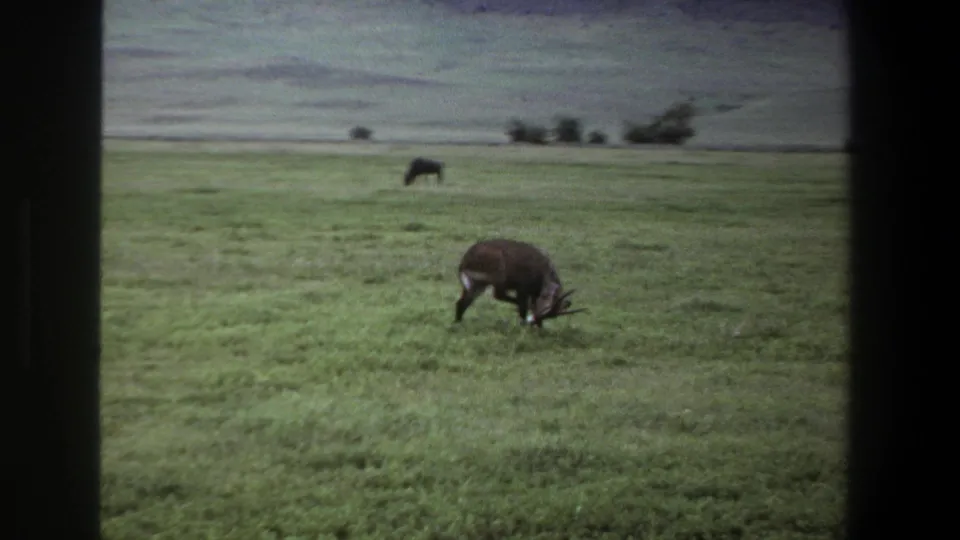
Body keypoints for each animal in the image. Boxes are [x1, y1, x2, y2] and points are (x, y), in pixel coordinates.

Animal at [454, 238, 587, 328]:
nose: (534, 322)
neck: (542, 270)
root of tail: (465, 260)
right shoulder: (523, 289)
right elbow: (524, 307)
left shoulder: (533, 293)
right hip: (498, 275)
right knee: (498, 295)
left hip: (478, 284)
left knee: (462, 302)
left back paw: (457, 323)